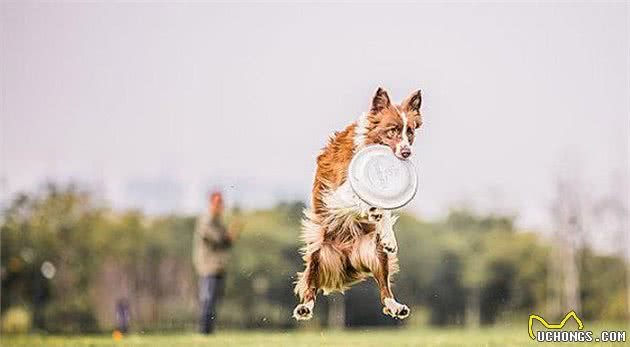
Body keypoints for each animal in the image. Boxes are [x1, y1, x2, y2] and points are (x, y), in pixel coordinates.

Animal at [296, 88, 424, 322]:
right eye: (392, 131)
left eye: (409, 132)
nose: (406, 153)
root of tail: (347, 259)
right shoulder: (336, 192)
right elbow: (359, 199)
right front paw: (370, 209)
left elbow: (385, 213)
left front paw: (389, 236)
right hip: (318, 248)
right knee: (310, 283)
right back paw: (304, 308)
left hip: (376, 252)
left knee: (384, 287)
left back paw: (395, 306)